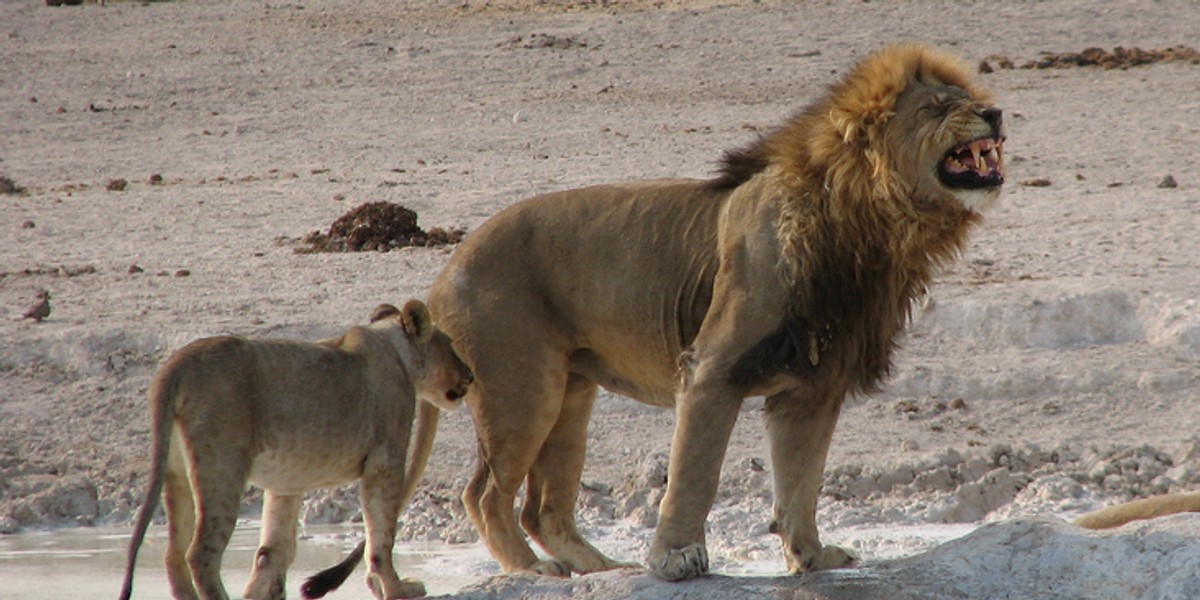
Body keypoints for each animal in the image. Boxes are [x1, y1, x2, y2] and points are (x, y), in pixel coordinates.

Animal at [118, 300, 472, 600]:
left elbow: (274, 550)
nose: (469, 376)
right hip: (221, 468)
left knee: (173, 554)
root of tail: (177, 364)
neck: (396, 352)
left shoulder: (286, 482)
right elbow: (381, 535)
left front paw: (261, 593)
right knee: (200, 553)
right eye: (450, 344)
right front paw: (396, 588)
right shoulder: (386, 460)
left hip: (176, 473)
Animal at [427, 43, 1008, 580]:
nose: (996, 112)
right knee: (483, 495)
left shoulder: (814, 386)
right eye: (937, 108)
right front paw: (675, 557)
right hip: (523, 392)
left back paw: (601, 568)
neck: (872, 230)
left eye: (969, 100)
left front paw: (812, 557)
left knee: (543, 509)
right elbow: (695, 474)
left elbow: (802, 480)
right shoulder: (711, 368)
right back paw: (532, 571)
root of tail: (447, 270)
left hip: (571, 395)